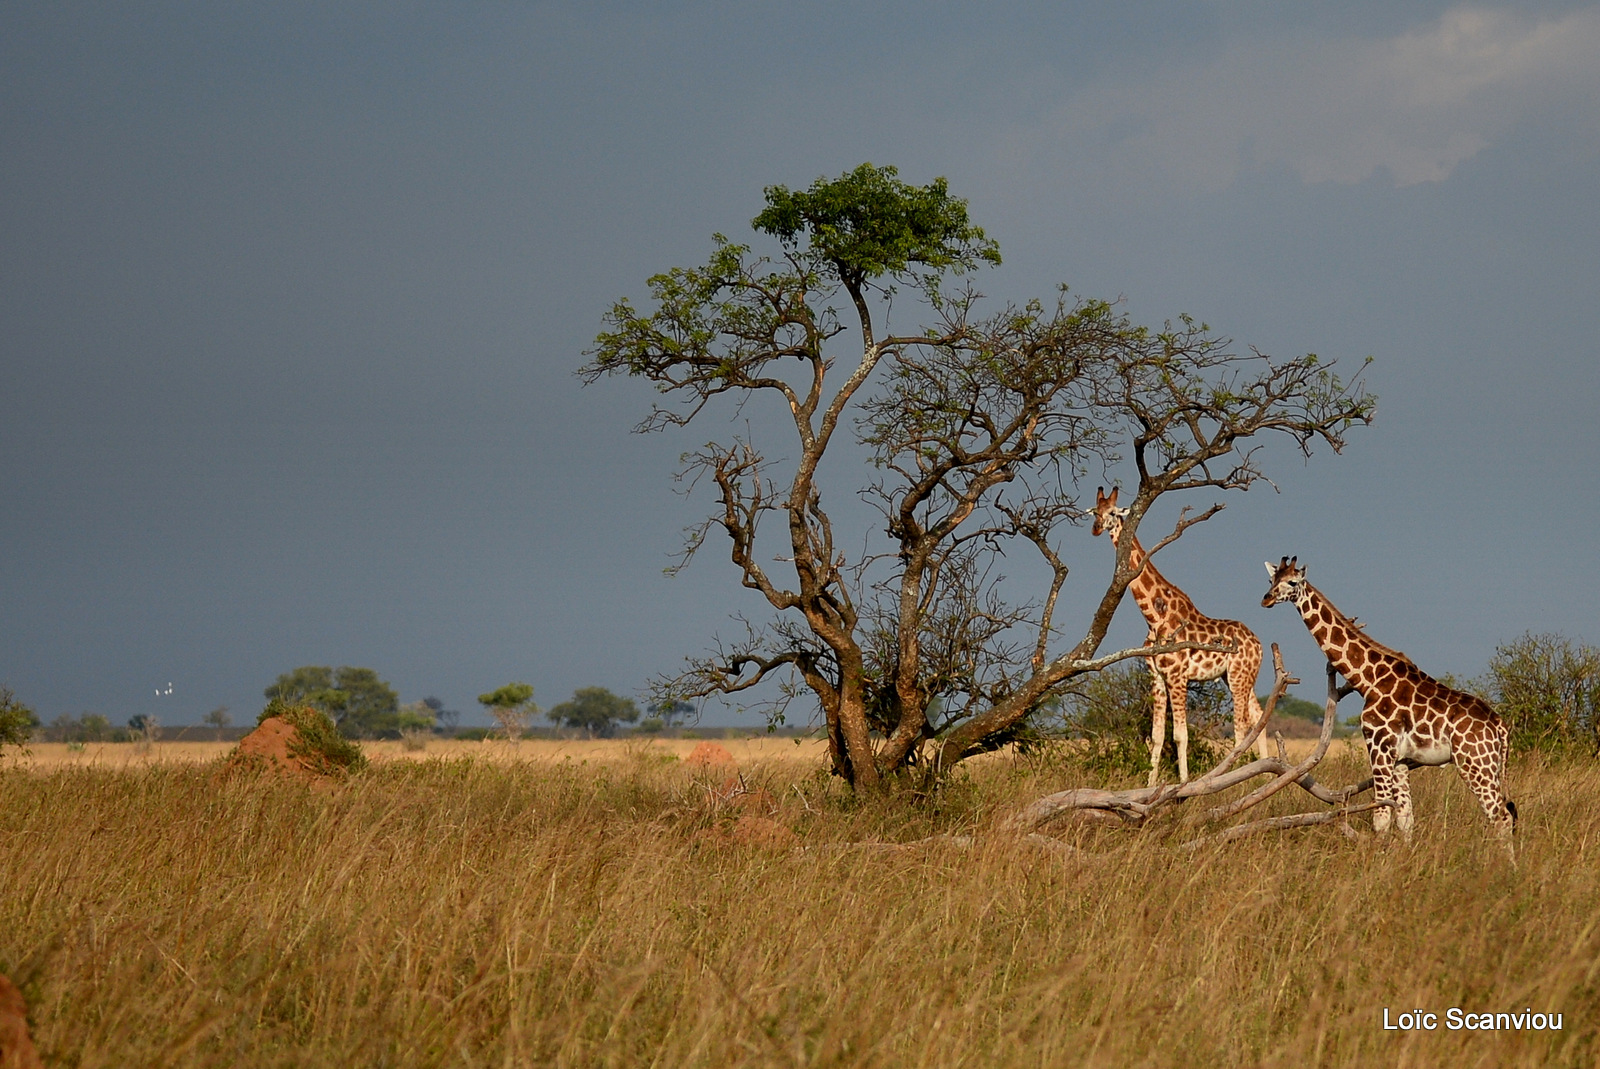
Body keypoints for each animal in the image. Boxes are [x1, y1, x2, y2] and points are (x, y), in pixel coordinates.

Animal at [1094, 489, 1267, 790]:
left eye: (1114, 512)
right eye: (1095, 511)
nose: (1096, 528)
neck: (1154, 618)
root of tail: (1258, 643)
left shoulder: (1177, 676)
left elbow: (1180, 735)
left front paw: (1183, 784)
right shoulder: (1157, 677)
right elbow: (1157, 737)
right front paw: (1149, 785)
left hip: (1238, 678)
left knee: (1241, 729)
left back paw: (1237, 779)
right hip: (1239, 677)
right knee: (1260, 719)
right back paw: (1268, 774)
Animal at [1260, 556, 1510, 857]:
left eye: (1293, 582)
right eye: (1271, 580)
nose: (1266, 599)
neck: (1369, 679)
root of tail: (1499, 724)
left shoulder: (1378, 746)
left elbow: (1380, 816)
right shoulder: (1400, 758)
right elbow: (1404, 817)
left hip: (1474, 762)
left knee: (1500, 816)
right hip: (1490, 765)